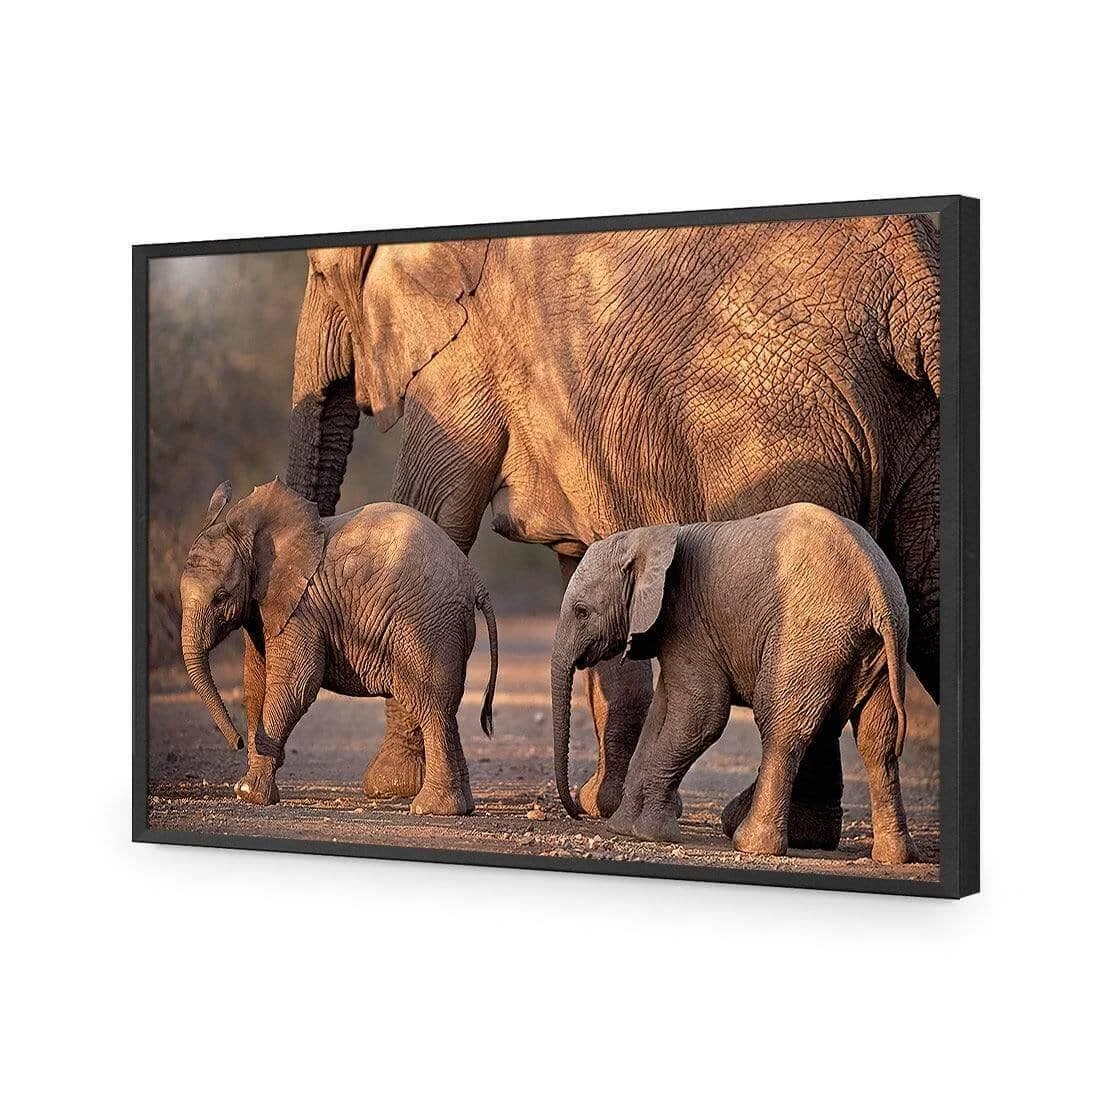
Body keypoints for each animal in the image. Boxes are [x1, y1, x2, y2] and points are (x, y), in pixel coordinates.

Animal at [179, 478, 498, 815]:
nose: (237, 742)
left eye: (221, 596)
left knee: (432, 706)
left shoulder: (302, 608)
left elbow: (295, 684)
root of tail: (473, 578)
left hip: (429, 626)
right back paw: (460, 807)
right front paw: (251, 786)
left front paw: (249, 793)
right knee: (446, 709)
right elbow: (256, 683)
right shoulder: (262, 608)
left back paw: (431, 809)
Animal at [551, 505, 919, 864]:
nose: (577, 813)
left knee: (780, 728)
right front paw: (624, 826)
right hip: (880, 649)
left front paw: (650, 833)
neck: (649, 537)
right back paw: (895, 857)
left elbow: (701, 717)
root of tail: (876, 587)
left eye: (582, 611)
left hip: (806, 637)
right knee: (877, 742)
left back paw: (751, 844)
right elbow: (661, 714)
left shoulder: (689, 622)